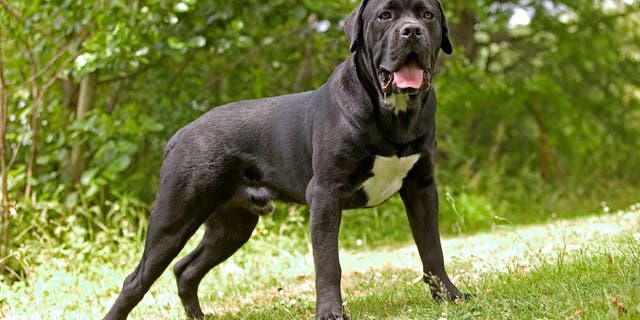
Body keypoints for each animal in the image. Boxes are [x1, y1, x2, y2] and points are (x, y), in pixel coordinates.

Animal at [105, 1, 462, 318]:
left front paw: (450, 297)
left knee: (186, 269)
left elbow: (432, 249)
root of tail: (181, 134)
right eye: (385, 16)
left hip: (232, 226)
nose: (411, 30)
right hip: (175, 217)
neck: (395, 114)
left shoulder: (421, 187)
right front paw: (331, 312)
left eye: (427, 14)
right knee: (135, 280)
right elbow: (328, 263)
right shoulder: (326, 194)